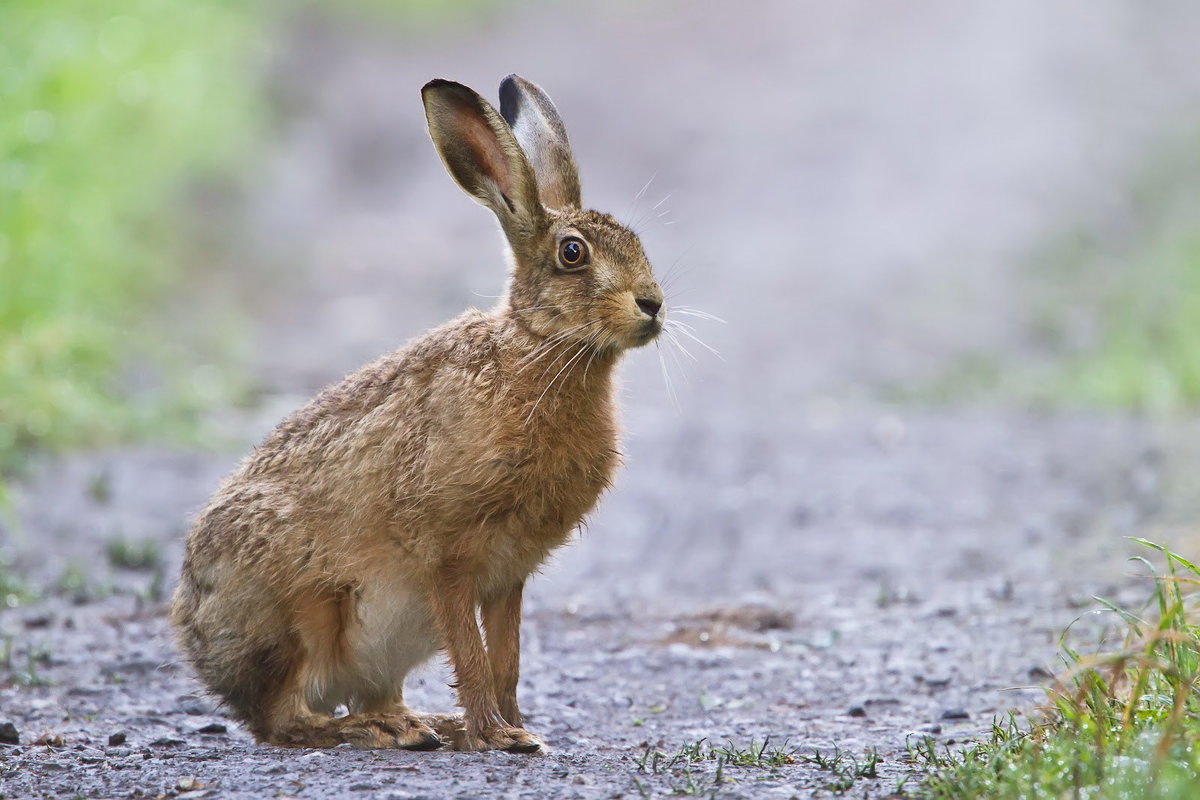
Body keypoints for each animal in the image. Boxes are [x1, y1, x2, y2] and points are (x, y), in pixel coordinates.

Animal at [170, 75, 665, 753]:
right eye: (573, 254)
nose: (654, 304)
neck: (536, 350)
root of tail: (197, 643)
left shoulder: (509, 574)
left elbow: (506, 658)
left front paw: (517, 729)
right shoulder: (446, 555)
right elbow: (473, 653)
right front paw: (499, 737)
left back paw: (422, 724)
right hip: (302, 614)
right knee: (285, 719)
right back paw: (378, 730)